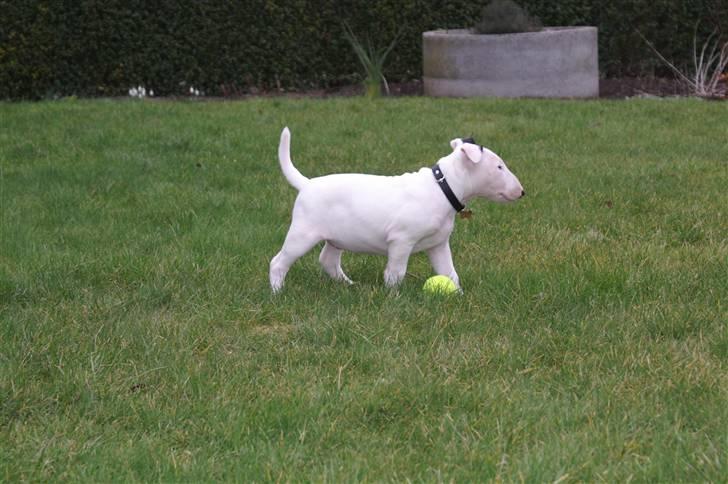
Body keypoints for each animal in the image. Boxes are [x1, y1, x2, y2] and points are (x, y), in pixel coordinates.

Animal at [268, 125, 524, 292]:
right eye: (499, 167)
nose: (522, 192)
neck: (443, 187)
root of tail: (307, 184)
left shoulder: (438, 244)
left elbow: (450, 272)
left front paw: (458, 295)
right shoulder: (401, 241)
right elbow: (396, 272)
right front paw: (394, 297)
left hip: (337, 238)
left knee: (328, 261)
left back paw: (349, 285)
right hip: (302, 235)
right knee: (278, 262)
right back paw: (277, 292)